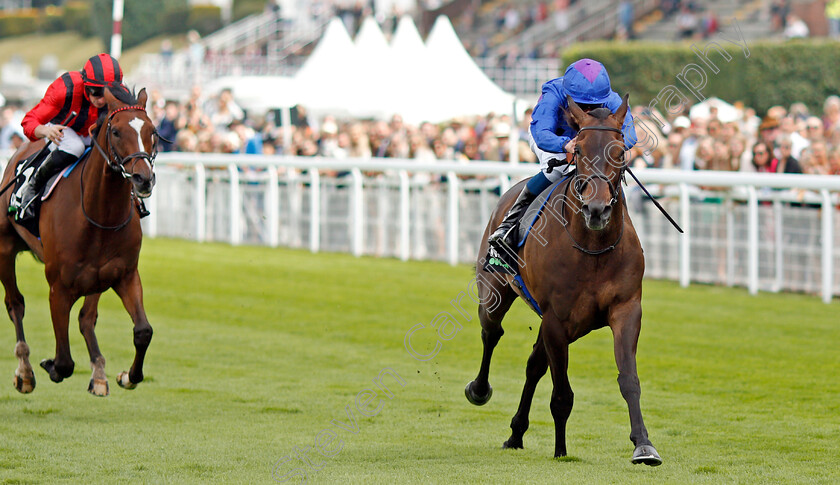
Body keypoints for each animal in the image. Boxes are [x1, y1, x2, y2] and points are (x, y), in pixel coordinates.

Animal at [0, 84, 157, 394]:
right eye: (116, 131)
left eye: (152, 131)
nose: (143, 179)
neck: (99, 214)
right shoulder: (58, 288)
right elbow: (63, 362)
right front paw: (47, 365)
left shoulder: (125, 275)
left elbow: (143, 331)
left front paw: (127, 376)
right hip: (4, 247)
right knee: (15, 304)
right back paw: (25, 370)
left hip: (97, 277)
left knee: (86, 318)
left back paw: (99, 372)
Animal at [466, 95, 664, 466]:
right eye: (580, 150)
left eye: (620, 151)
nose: (596, 209)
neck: (594, 248)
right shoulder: (557, 319)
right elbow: (562, 394)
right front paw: (561, 450)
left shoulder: (626, 309)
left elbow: (629, 379)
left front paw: (644, 445)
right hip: (496, 292)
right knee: (492, 333)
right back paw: (479, 390)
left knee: (533, 365)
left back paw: (516, 433)